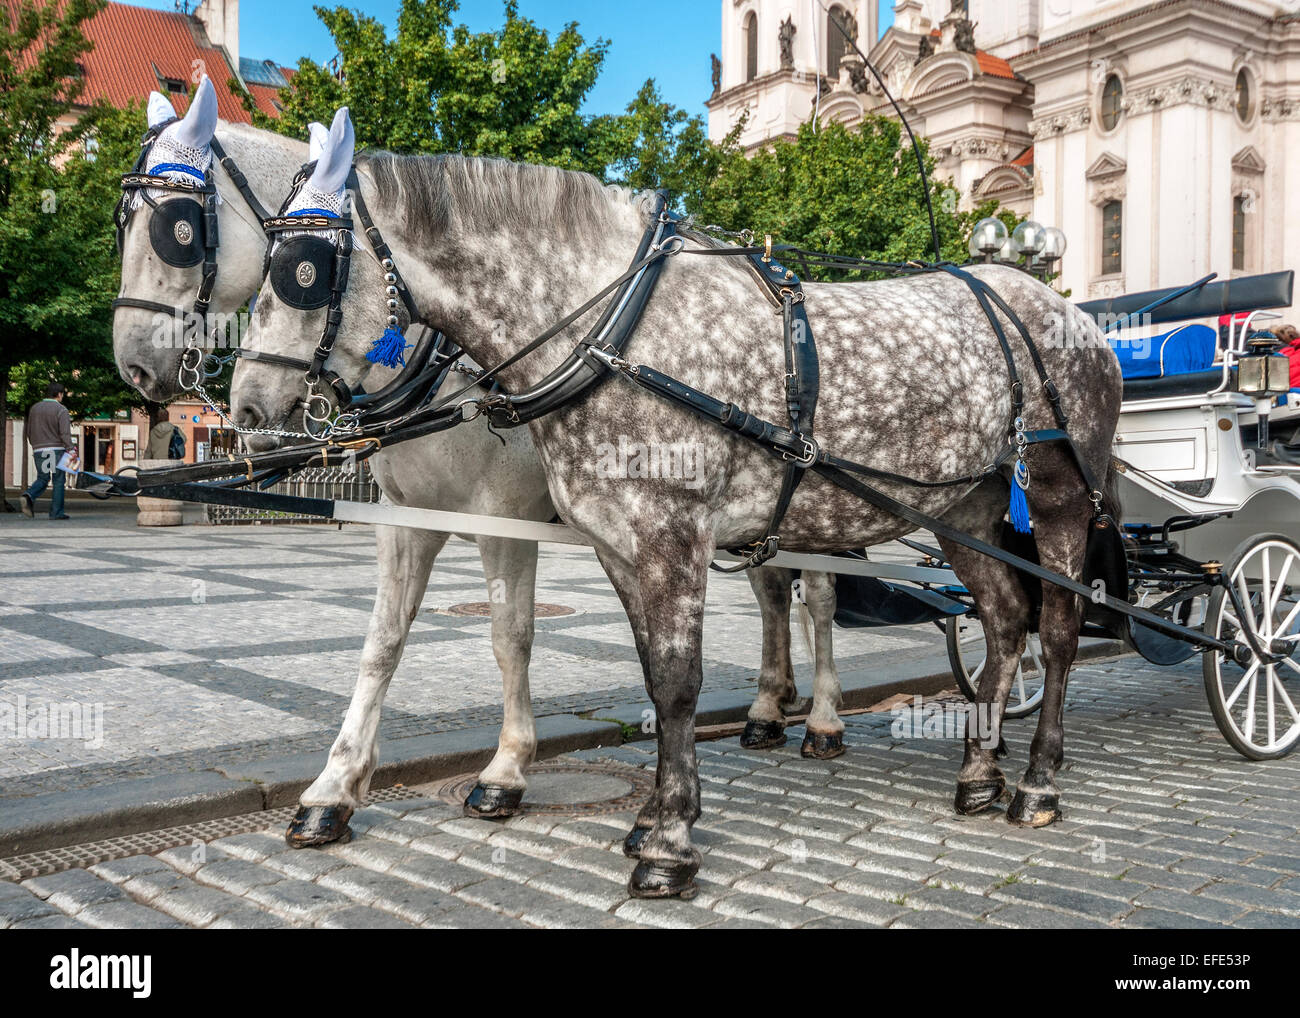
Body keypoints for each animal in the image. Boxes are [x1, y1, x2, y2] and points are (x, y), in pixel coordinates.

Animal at [109, 83, 842, 842]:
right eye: (120, 222)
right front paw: (333, 788)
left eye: (178, 229)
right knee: (770, 591)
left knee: (818, 598)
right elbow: (383, 641)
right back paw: (768, 707)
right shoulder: (406, 520)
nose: (132, 360)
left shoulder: (507, 521)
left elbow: (509, 635)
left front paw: (506, 770)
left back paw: (822, 718)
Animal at [233, 107, 1128, 894]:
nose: (243, 403)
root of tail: (1069, 314)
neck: (611, 329)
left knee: (1056, 628)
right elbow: (633, 672)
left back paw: (1034, 782)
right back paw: (978, 769)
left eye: (302, 269)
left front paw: (667, 842)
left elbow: (673, 682)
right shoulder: (611, 540)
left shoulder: (665, 535)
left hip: (1055, 501)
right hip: (965, 512)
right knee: (1004, 620)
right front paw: (654, 815)